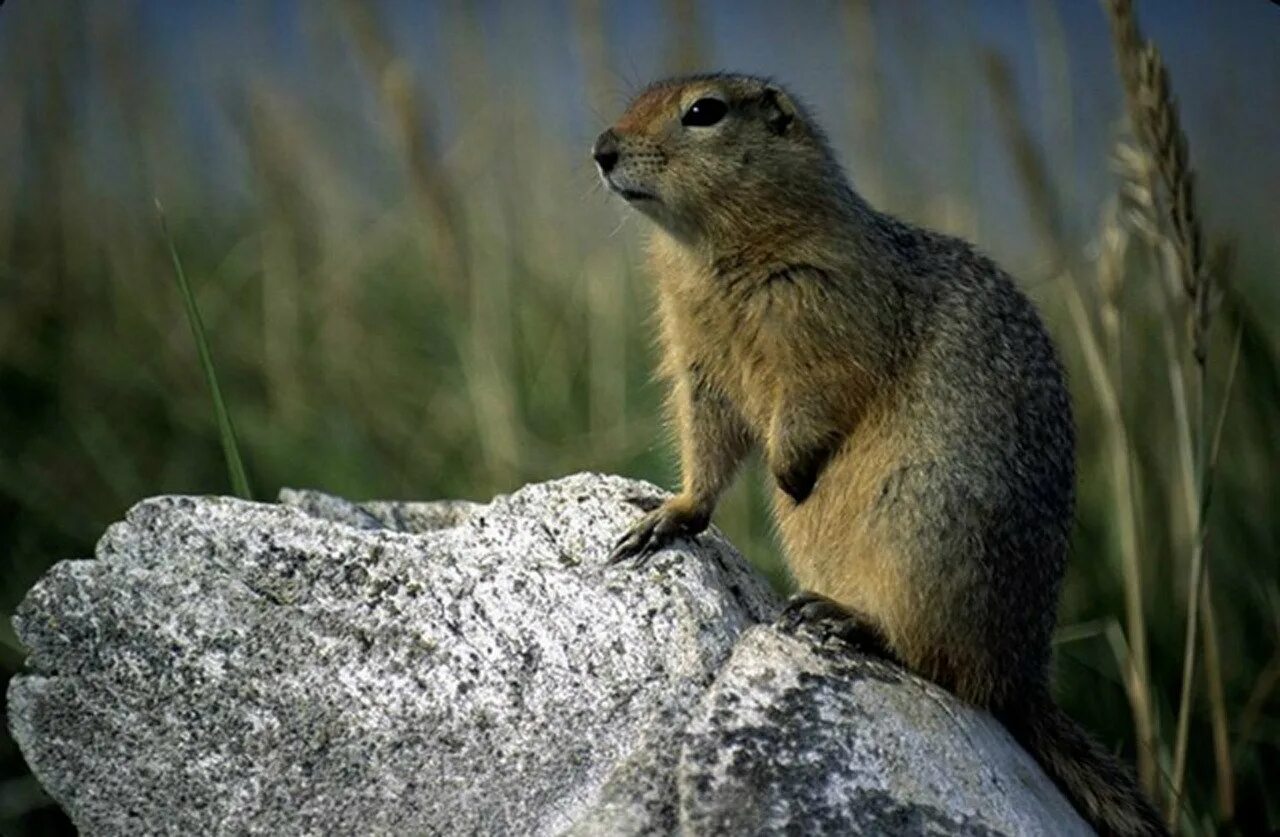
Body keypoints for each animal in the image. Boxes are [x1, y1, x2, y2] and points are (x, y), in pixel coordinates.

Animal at [593, 73, 1167, 837]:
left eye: (703, 111)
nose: (601, 149)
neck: (715, 256)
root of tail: (1023, 676)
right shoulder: (696, 353)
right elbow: (706, 436)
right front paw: (664, 515)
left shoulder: (825, 307)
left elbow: (820, 394)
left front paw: (790, 473)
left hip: (925, 537)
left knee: (943, 664)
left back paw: (846, 618)